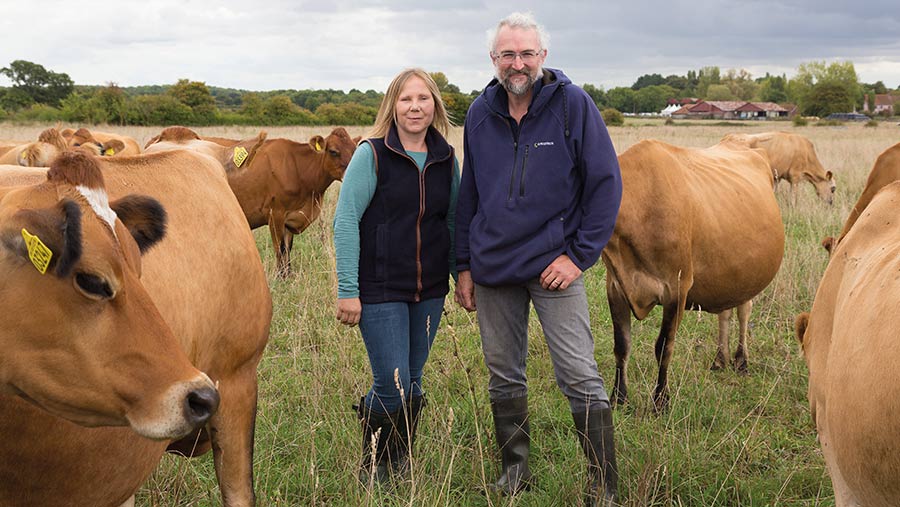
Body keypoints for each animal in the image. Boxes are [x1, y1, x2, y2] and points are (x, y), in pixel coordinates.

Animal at [600, 139, 784, 412]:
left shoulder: (677, 288)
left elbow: (664, 347)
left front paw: (661, 401)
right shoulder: (616, 286)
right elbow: (622, 345)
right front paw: (618, 398)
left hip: (748, 276)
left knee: (744, 311)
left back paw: (741, 360)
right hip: (726, 273)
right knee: (725, 312)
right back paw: (720, 359)